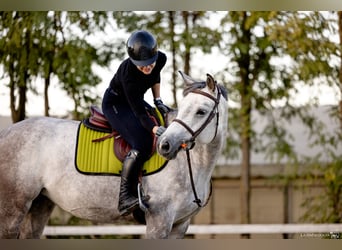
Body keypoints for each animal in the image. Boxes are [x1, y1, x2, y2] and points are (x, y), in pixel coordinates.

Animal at [0, 72, 227, 238]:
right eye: (183, 108)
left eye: (201, 111)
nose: (165, 145)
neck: (192, 165)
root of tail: (7, 132)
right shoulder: (159, 222)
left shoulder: (180, 225)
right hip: (13, 210)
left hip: (40, 205)